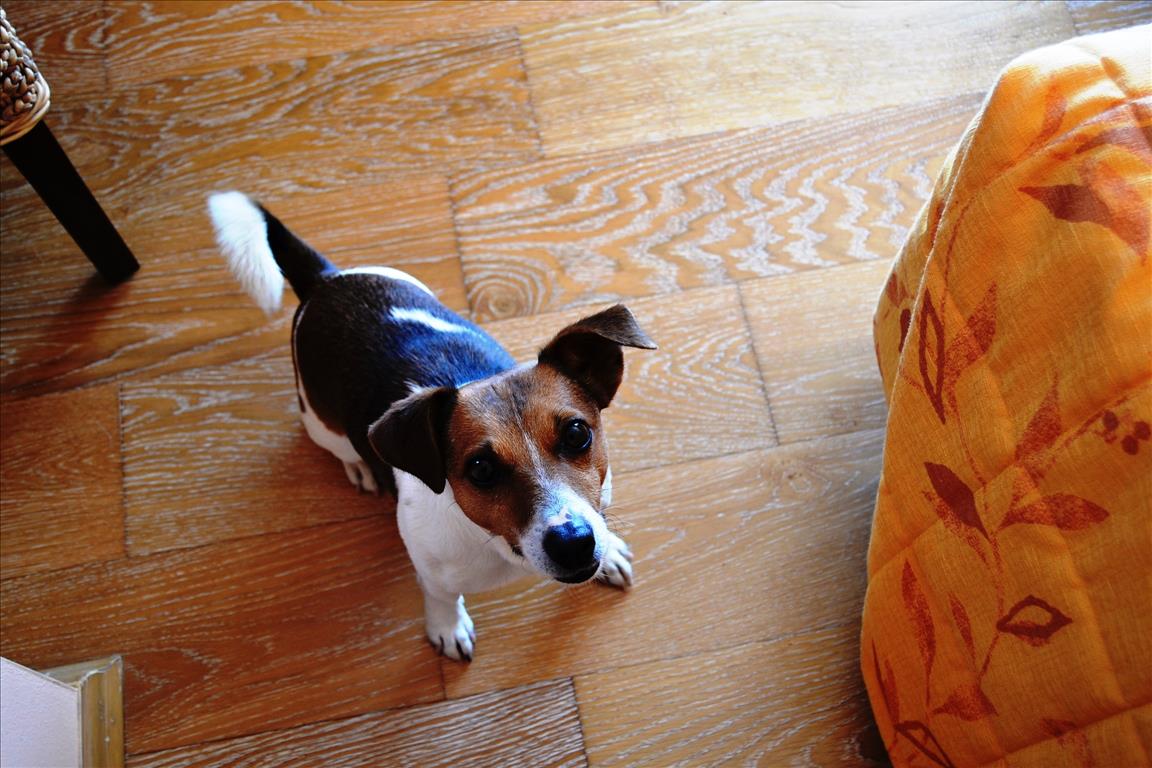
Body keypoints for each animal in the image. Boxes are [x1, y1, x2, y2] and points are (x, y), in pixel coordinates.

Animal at [207, 192, 656, 661]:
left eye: (576, 434)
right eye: (481, 469)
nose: (573, 542)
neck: (498, 545)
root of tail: (325, 279)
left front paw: (608, 554)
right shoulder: (431, 566)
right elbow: (441, 596)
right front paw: (447, 626)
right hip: (318, 422)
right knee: (339, 445)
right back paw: (360, 466)